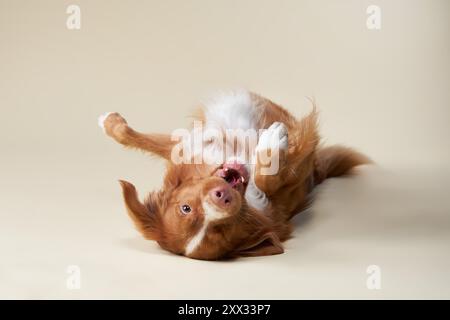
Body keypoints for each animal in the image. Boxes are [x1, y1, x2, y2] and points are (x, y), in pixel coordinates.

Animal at [98, 90, 370, 260]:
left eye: (185, 208)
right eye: (222, 230)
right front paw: (273, 145)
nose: (223, 197)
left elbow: (133, 137)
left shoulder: (188, 146)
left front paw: (110, 122)